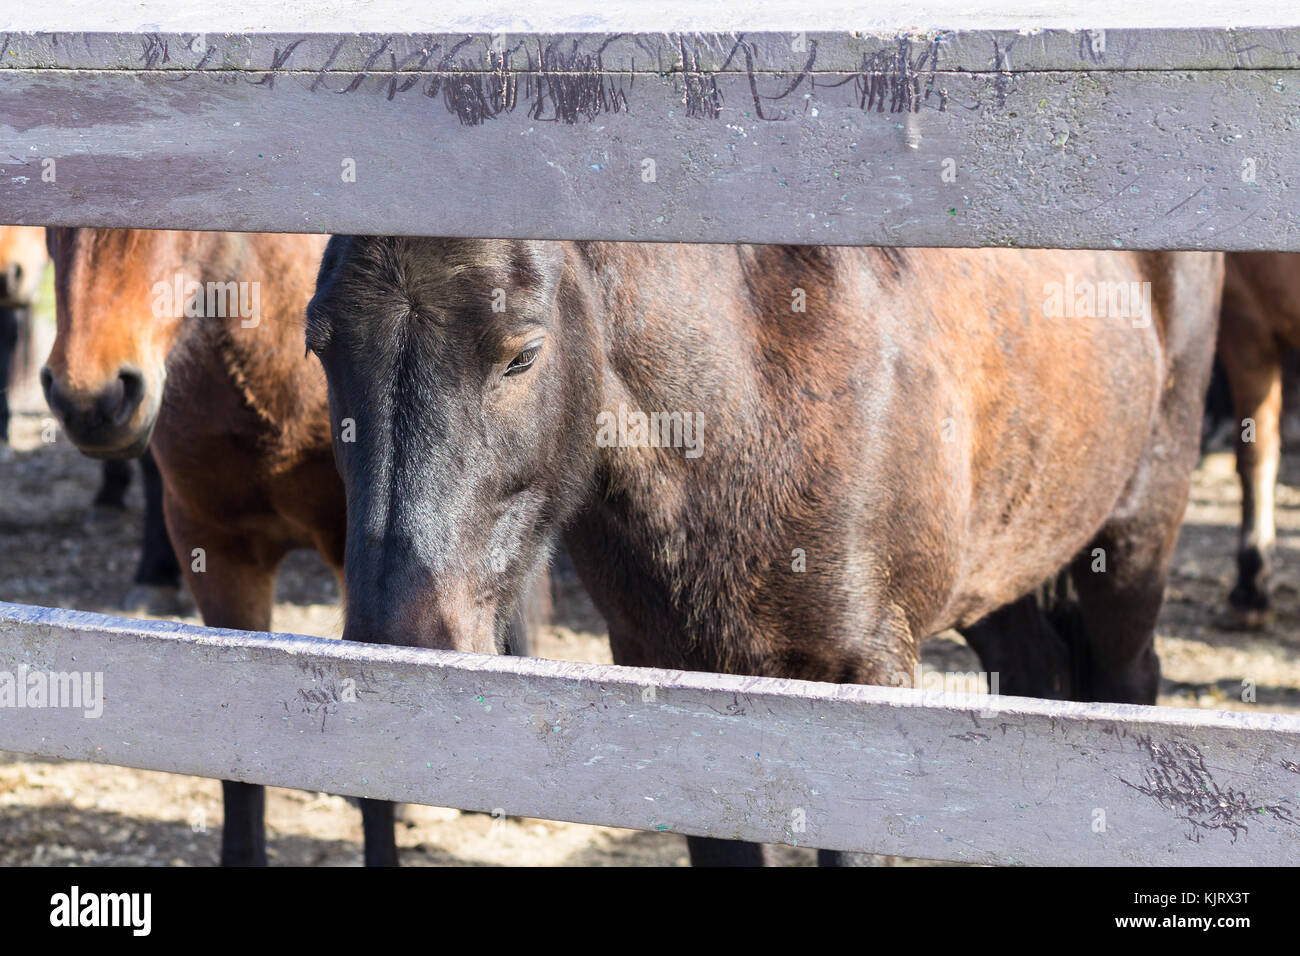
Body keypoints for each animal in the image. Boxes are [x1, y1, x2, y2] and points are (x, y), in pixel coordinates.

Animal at [301, 240, 1216, 868]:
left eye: (522, 353)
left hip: (1133, 540)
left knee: (1125, 682)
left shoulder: (866, 681)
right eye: (320, 344)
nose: (400, 643)